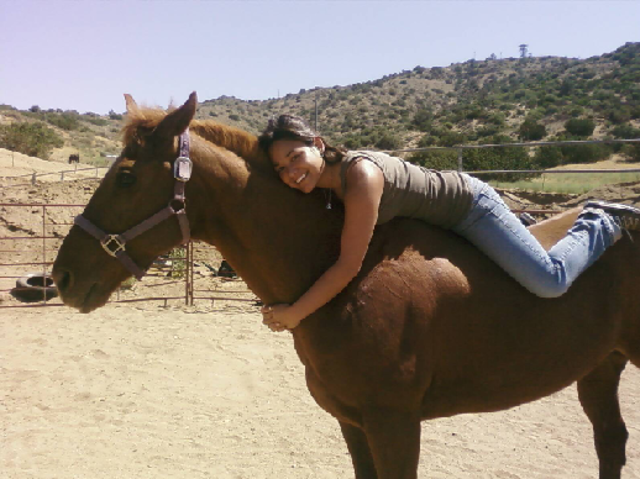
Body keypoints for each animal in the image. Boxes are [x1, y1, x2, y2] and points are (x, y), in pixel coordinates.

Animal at [52, 93, 640, 479]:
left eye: (126, 176)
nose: (61, 277)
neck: (346, 282)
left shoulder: (395, 424)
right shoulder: (353, 423)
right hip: (599, 365)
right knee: (610, 442)